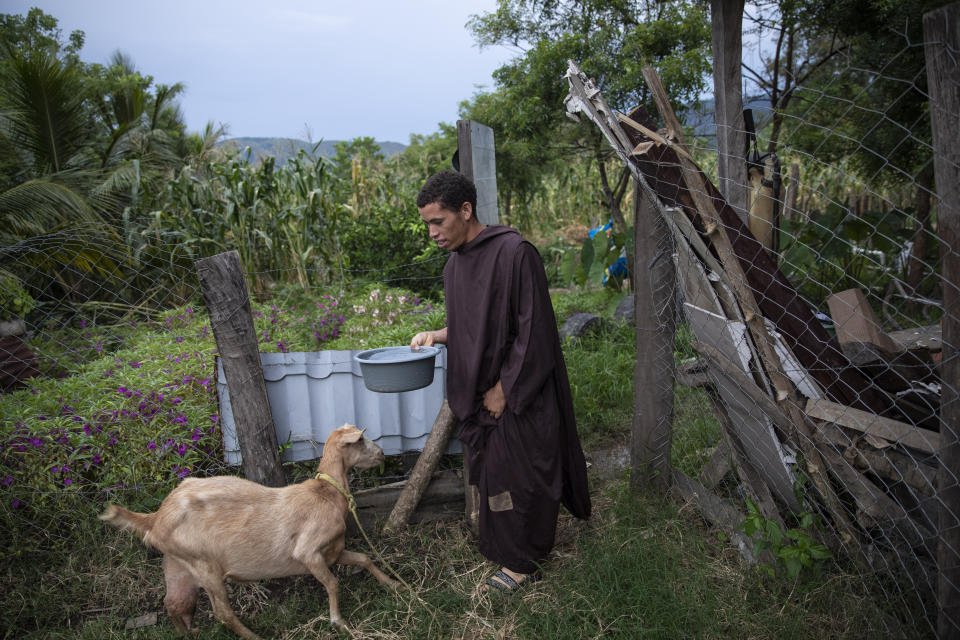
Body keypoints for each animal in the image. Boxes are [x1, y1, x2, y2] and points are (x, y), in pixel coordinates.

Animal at [98, 422, 398, 636]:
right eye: (361, 440)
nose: (383, 454)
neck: (326, 493)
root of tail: (156, 518)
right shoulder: (308, 551)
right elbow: (333, 583)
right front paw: (339, 622)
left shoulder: (332, 552)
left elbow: (364, 558)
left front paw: (392, 584)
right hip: (205, 565)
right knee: (222, 613)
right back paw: (254, 636)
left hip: (177, 563)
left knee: (173, 602)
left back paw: (187, 633)